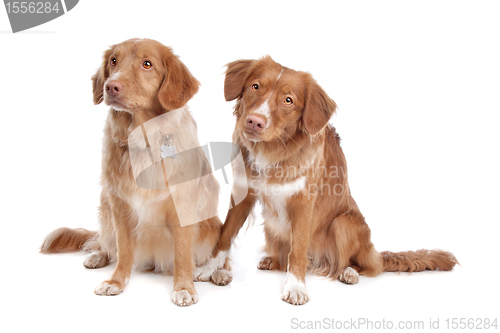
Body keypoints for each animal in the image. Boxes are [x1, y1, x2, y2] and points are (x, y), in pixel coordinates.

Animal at [40, 39, 230, 306]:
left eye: (147, 64)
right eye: (113, 61)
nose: (111, 86)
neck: (143, 139)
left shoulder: (183, 207)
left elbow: (183, 255)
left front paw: (184, 287)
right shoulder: (119, 205)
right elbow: (123, 251)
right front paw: (116, 281)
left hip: (212, 225)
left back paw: (220, 273)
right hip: (105, 207)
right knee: (105, 243)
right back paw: (98, 256)